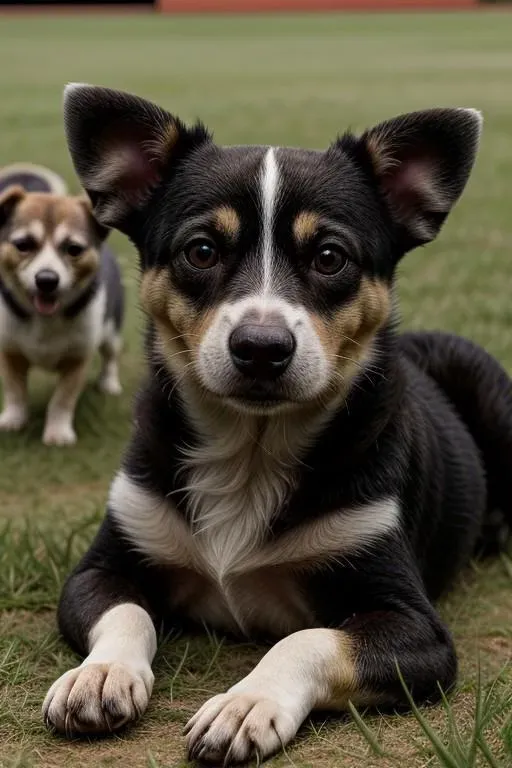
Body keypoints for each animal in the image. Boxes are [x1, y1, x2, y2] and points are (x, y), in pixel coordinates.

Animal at [0, 165, 124, 448]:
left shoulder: (78, 359)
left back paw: (109, 383)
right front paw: (14, 419)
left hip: (111, 330)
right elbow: (14, 390)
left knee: (110, 355)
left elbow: (62, 399)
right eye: (23, 245)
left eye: (74, 249)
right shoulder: (10, 351)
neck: (44, 319)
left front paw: (57, 431)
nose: (47, 280)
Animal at [43, 85, 512, 760]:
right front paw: (100, 673)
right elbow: (125, 611)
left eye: (330, 257)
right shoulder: (102, 567)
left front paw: (246, 703)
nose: (261, 348)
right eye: (202, 250)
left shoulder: (414, 625)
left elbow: (309, 638)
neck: (251, 448)